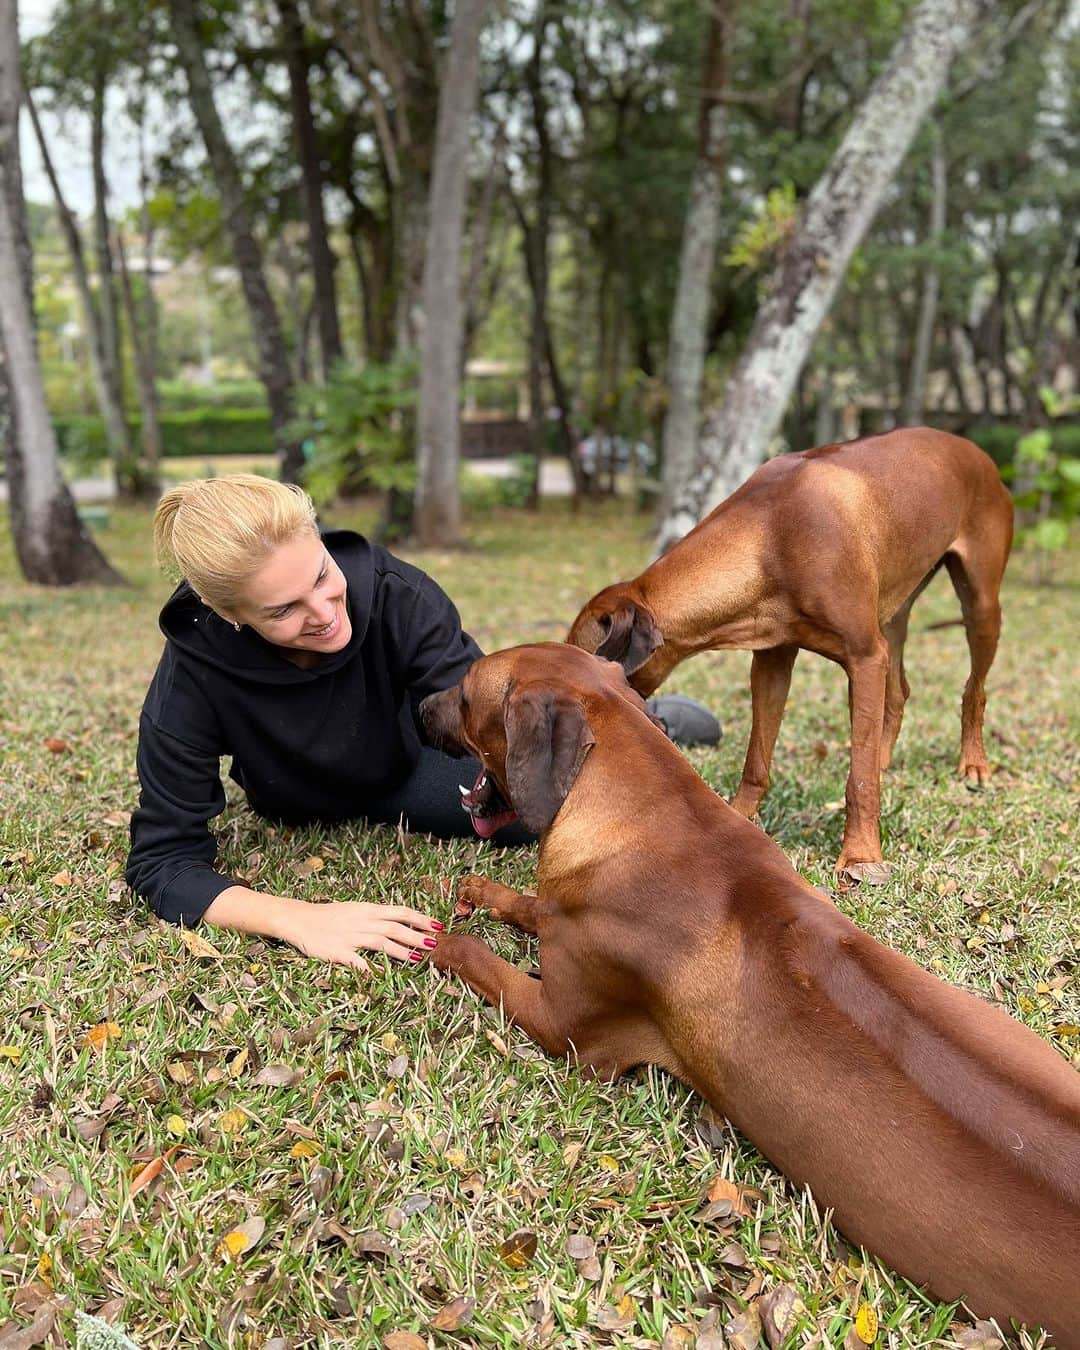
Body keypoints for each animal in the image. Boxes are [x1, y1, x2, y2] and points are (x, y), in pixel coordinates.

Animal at [418, 639, 1080, 1339]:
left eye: (465, 691)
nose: (418, 706)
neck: (646, 813)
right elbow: (533, 905)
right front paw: (485, 891)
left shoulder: (567, 1026)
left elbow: (480, 956)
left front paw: (432, 938)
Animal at [564, 426, 1015, 880]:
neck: (769, 537)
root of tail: (971, 447)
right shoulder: (773, 659)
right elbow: (757, 759)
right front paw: (740, 816)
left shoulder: (865, 658)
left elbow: (859, 782)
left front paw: (861, 855)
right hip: (893, 609)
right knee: (899, 691)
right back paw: (884, 757)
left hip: (979, 603)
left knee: (974, 689)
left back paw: (974, 764)